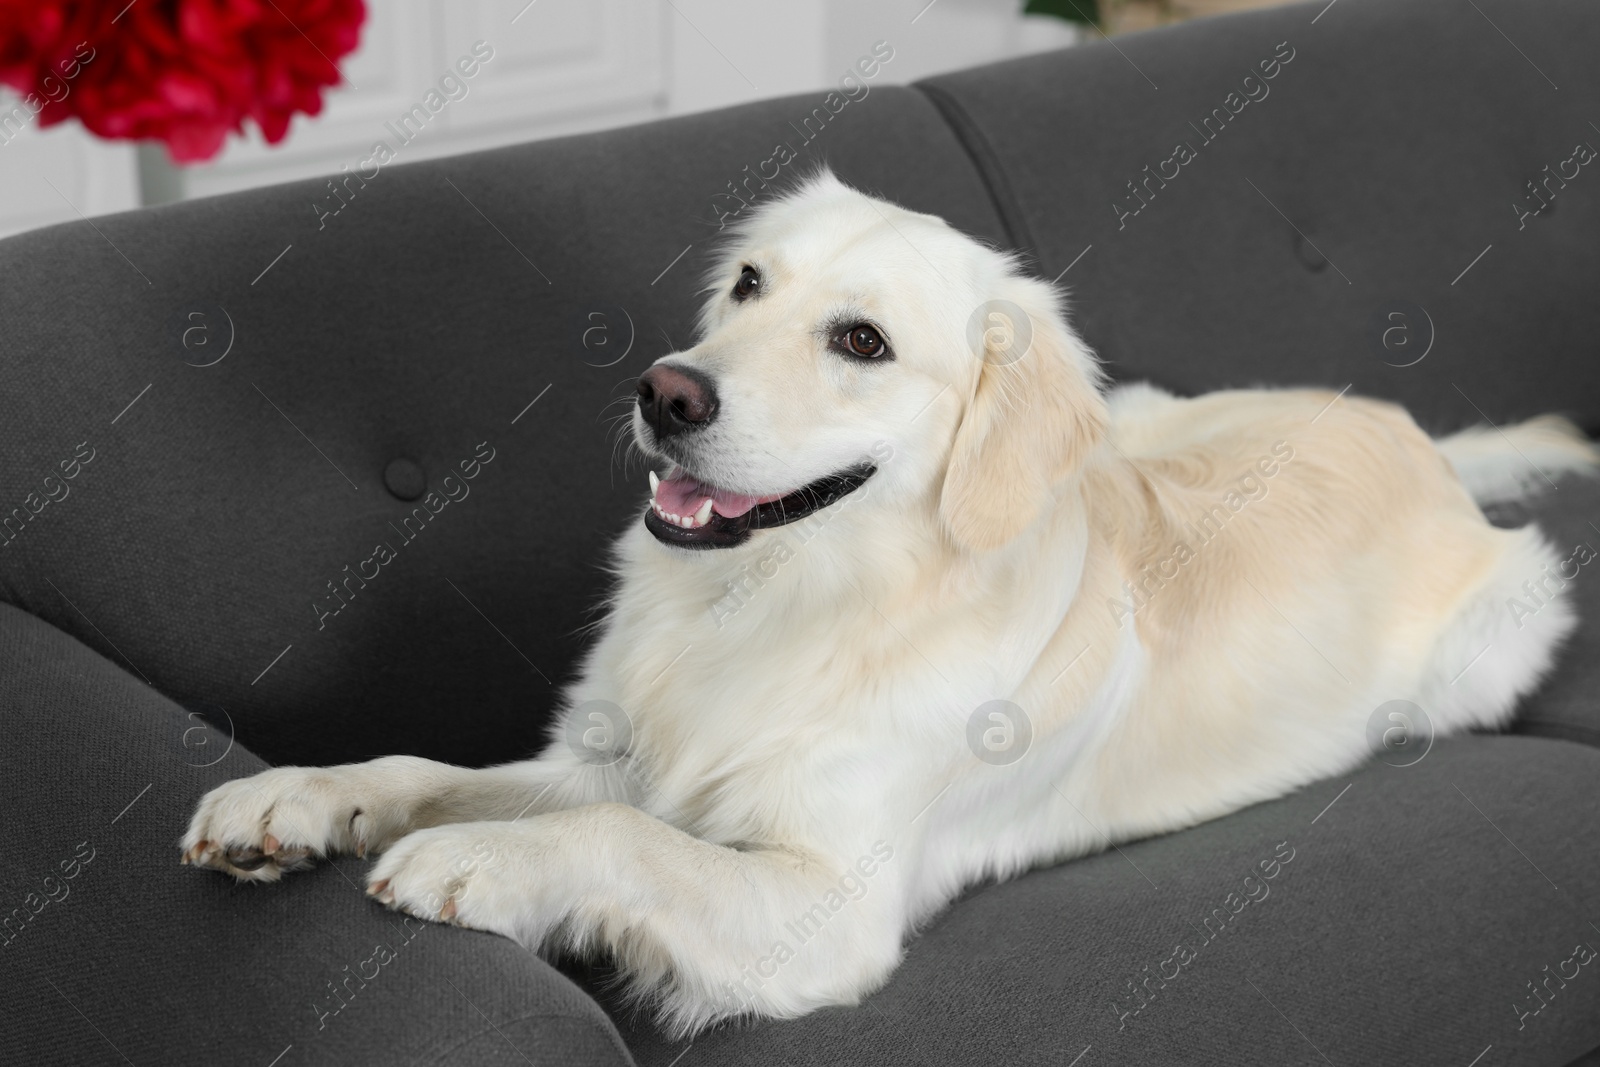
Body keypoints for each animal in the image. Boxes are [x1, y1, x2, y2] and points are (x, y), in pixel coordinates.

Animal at [184, 173, 1587, 1036]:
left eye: (860, 341)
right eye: (749, 283)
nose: (664, 391)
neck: (782, 598)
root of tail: (1409, 429)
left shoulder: (826, 907)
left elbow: (624, 840)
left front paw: (481, 859)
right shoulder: (609, 756)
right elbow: (441, 769)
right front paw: (298, 795)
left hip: (1498, 626)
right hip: (1144, 412)